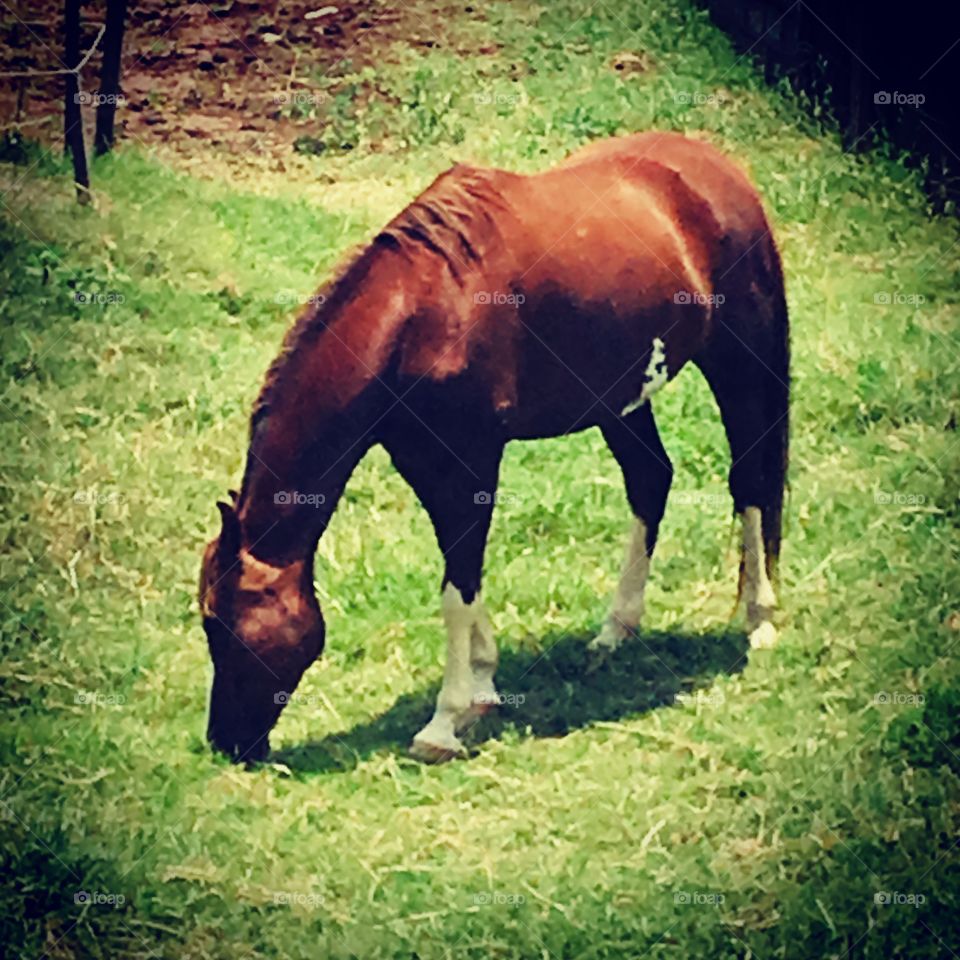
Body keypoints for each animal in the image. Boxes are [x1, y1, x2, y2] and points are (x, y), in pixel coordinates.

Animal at [201, 131, 788, 764]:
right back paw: (615, 629)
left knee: (750, 481)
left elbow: (456, 588)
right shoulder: (425, 461)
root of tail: (718, 167)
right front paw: (481, 687)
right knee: (650, 481)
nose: (225, 743)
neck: (424, 311)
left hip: (739, 360)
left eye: (221, 624)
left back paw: (760, 619)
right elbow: (464, 576)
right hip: (620, 400)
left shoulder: (471, 462)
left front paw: (444, 722)